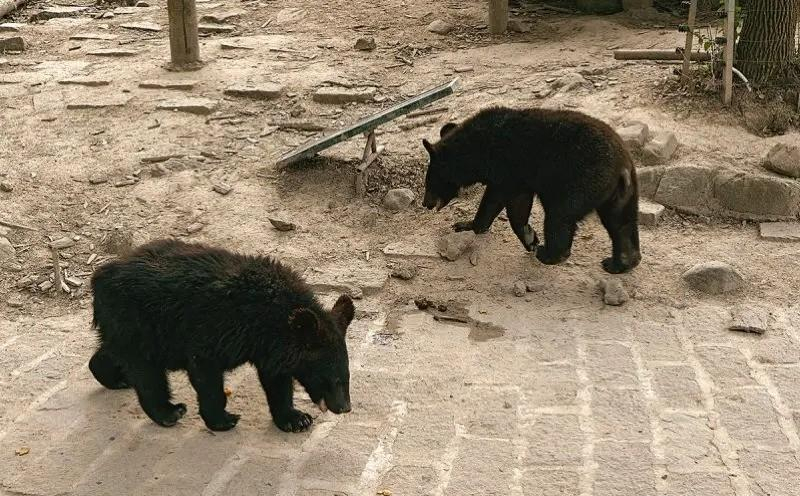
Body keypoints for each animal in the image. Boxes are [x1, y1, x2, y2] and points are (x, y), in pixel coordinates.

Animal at [86, 238, 354, 432]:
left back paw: (114, 377)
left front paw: (295, 419)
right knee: (147, 373)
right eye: (331, 379)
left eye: (346, 377)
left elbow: (276, 380)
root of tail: (98, 277)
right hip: (137, 320)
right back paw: (169, 412)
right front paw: (223, 419)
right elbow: (206, 373)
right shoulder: (216, 329)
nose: (344, 408)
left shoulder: (269, 346)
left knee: (115, 353)